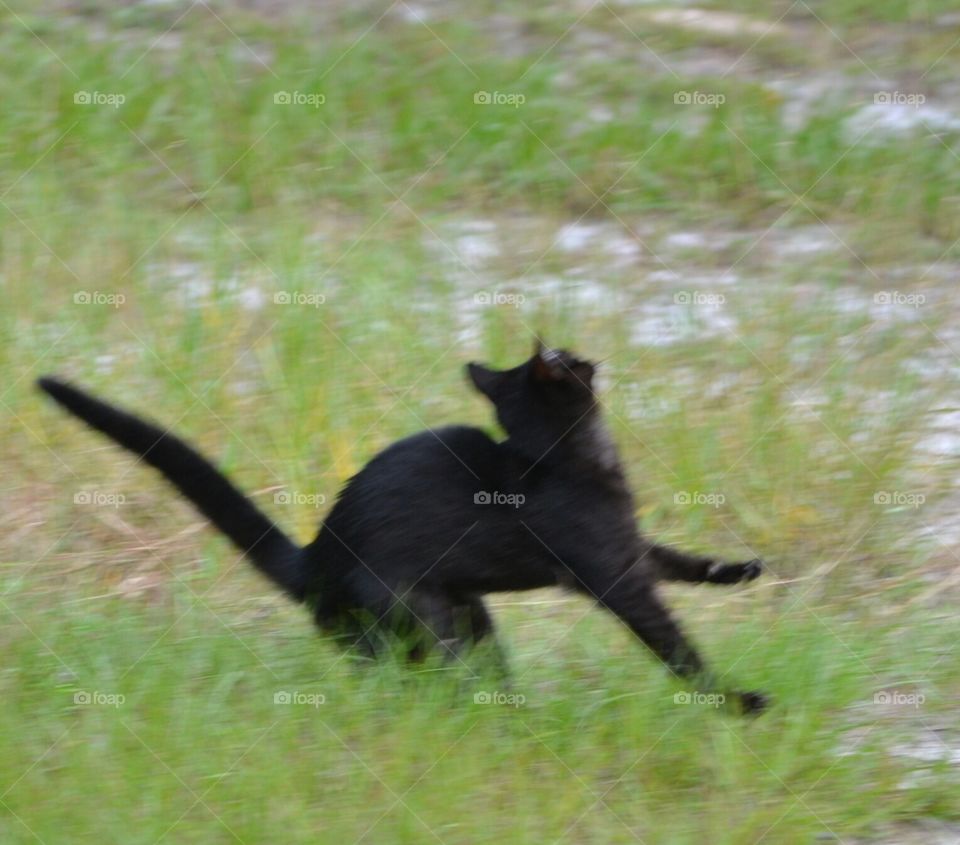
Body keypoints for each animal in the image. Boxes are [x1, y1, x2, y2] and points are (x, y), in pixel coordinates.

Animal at [37, 342, 768, 712]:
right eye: (562, 357)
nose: (578, 345)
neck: (567, 457)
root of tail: (314, 558)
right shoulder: (612, 575)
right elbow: (675, 647)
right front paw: (736, 700)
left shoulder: (631, 545)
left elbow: (675, 557)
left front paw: (735, 570)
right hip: (425, 619)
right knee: (421, 683)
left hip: (470, 613)